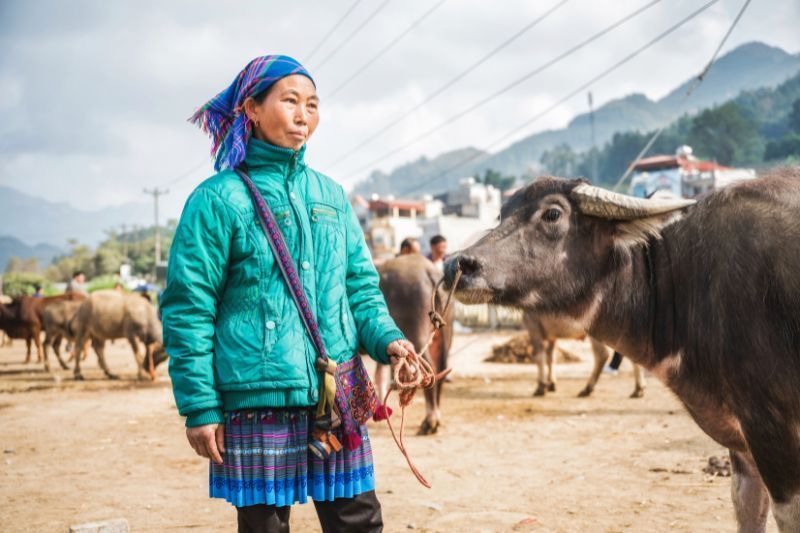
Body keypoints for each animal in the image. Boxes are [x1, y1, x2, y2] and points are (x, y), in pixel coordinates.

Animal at [378, 252, 454, 432]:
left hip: (415, 333)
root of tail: (429, 271)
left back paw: (430, 421)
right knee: (441, 367)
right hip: (444, 330)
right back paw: (436, 417)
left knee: (429, 367)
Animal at [520, 310, 648, 396]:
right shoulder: (551, 337)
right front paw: (551, 385)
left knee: (602, 355)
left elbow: (539, 358)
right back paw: (638, 389)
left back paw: (587, 388)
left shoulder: (534, 328)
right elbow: (550, 358)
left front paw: (541, 387)